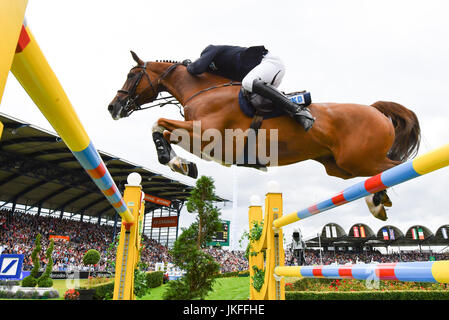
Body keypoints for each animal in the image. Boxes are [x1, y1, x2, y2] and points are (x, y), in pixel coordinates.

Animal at [107, 51, 420, 220]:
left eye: (132, 75)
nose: (113, 107)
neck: (203, 90)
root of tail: (374, 109)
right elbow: (161, 129)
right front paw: (181, 164)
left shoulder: (207, 135)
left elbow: (158, 123)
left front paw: (174, 162)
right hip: (341, 167)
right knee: (379, 174)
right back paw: (377, 201)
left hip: (359, 159)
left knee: (397, 168)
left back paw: (380, 200)